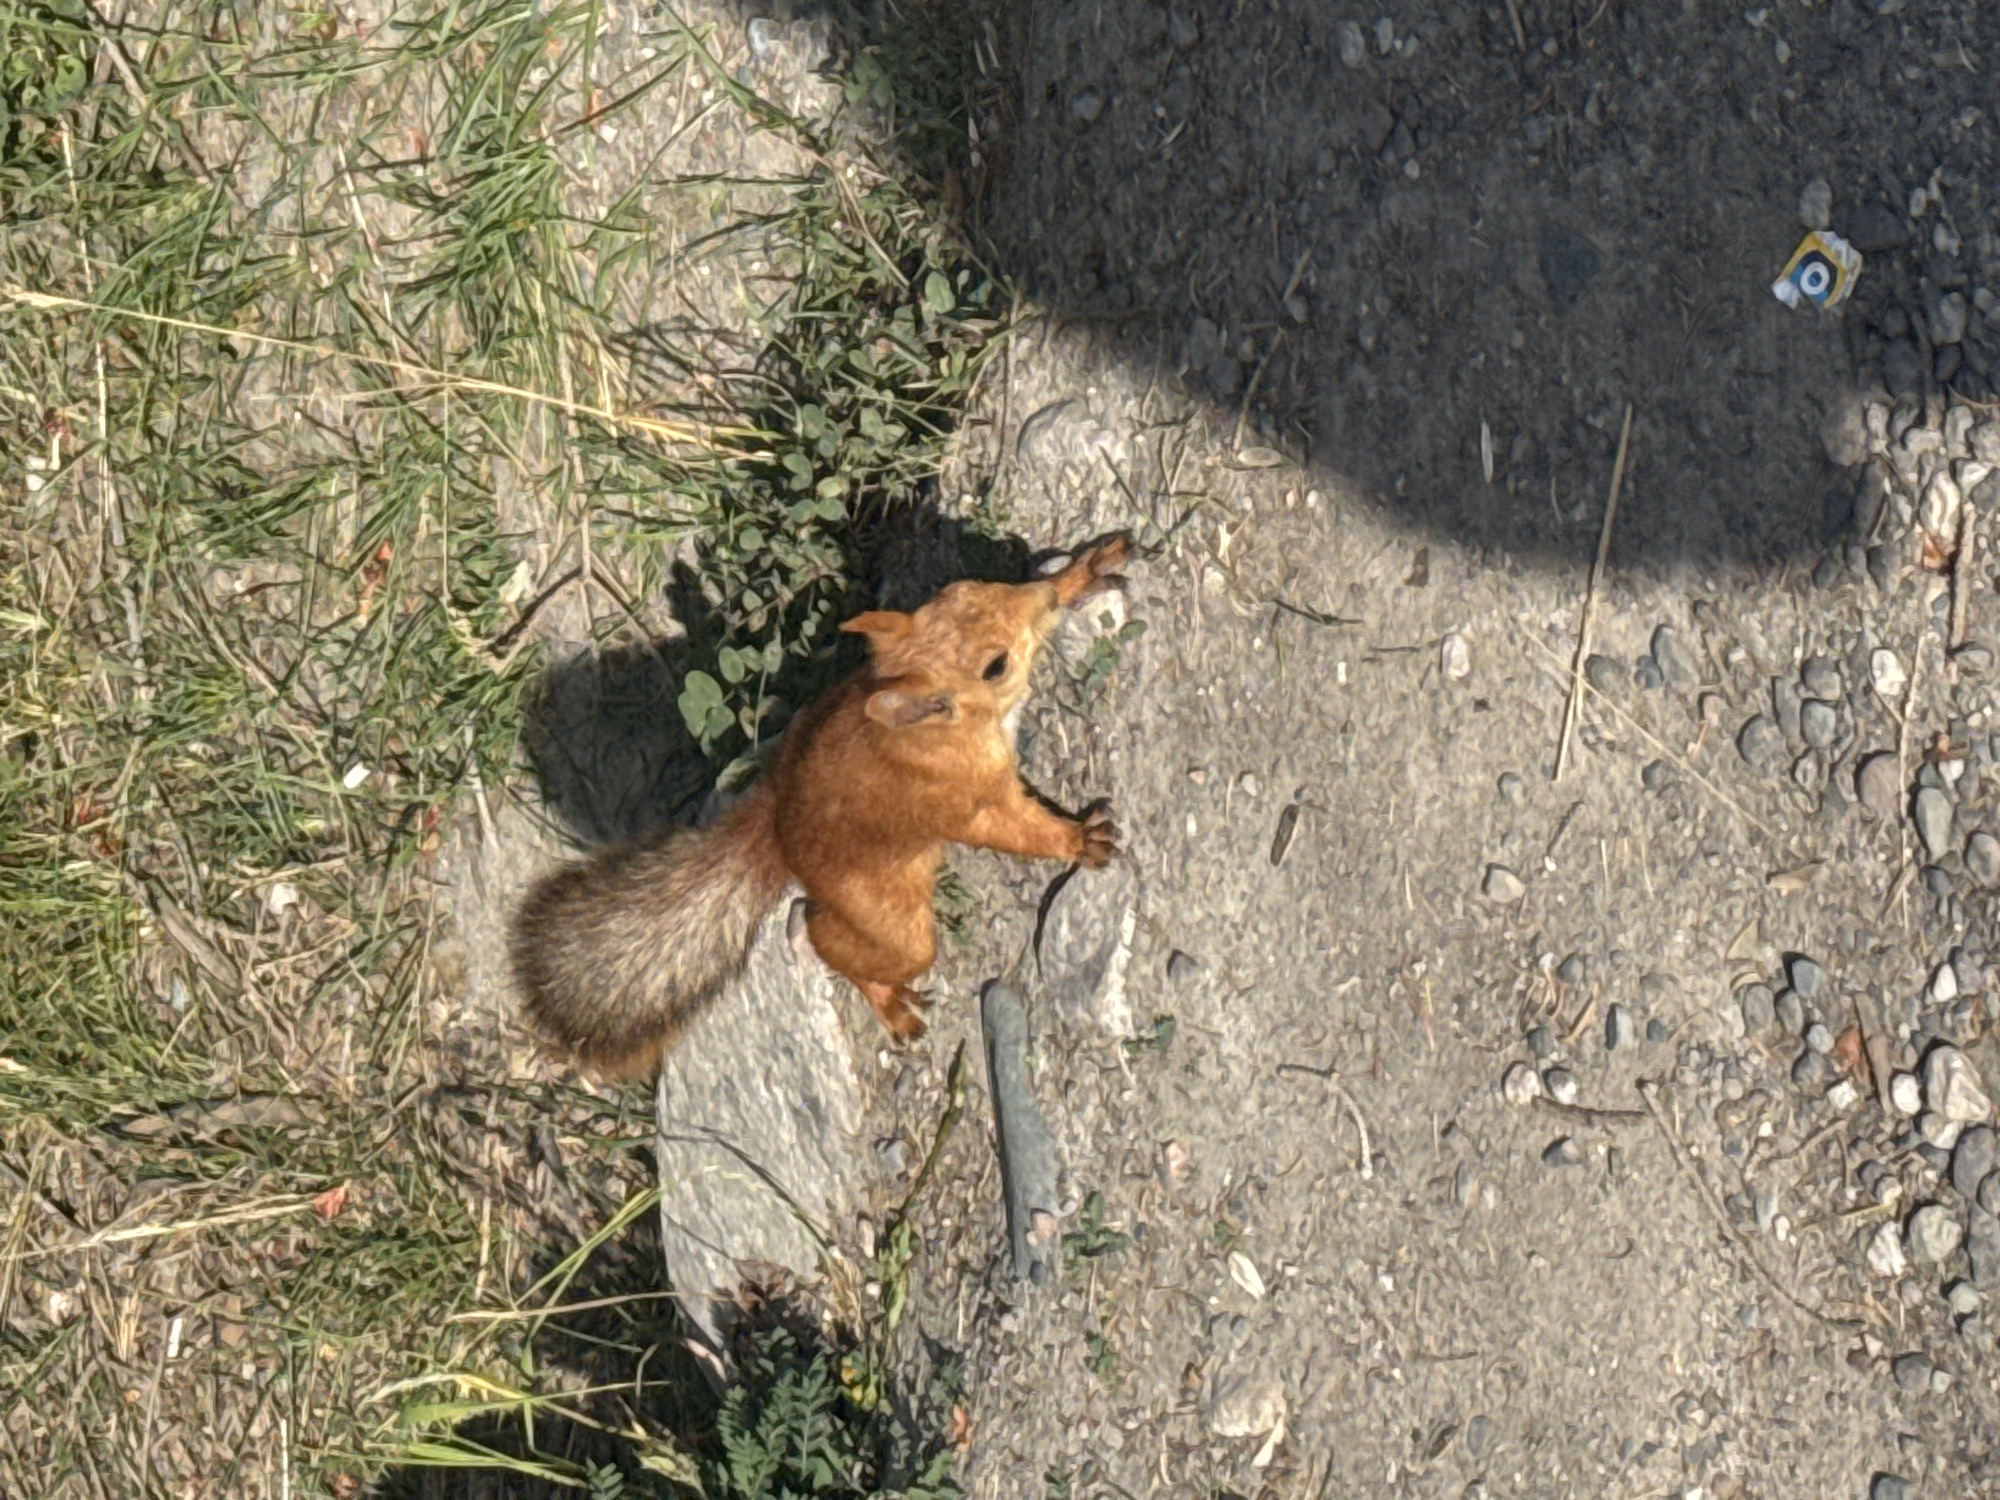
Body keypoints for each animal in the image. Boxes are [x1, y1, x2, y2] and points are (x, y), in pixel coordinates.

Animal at [509, 533, 1132, 1076]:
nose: (1039, 597)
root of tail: (778, 831)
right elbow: (1014, 831)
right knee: (827, 939)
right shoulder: (966, 800)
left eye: (969, 586)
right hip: (892, 921)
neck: (934, 734)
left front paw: (1080, 574)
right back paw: (888, 1002)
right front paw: (1080, 839)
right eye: (994, 666)